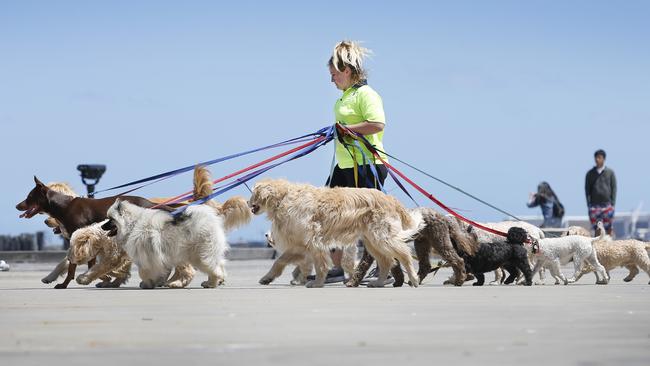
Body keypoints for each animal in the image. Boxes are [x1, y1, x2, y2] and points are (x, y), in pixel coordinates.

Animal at [246, 179, 422, 288]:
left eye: (253, 193)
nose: (247, 202)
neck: (283, 198)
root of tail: (390, 198)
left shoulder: (313, 242)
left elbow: (320, 265)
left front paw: (317, 283)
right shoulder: (300, 246)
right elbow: (279, 261)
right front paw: (267, 278)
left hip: (381, 237)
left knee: (404, 254)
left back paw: (414, 278)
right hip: (372, 241)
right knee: (387, 261)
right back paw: (378, 282)